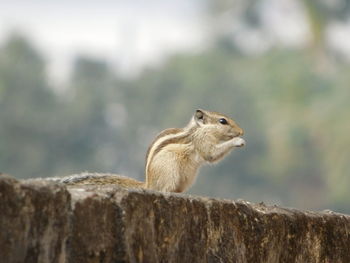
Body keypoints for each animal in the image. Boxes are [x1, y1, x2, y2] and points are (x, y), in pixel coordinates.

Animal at [50, 109, 245, 194]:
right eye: (222, 121)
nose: (242, 131)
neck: (198, 130)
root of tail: (148, 185)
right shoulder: (203, 142)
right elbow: (211, 154)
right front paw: (238, 141)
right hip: (170, 171)